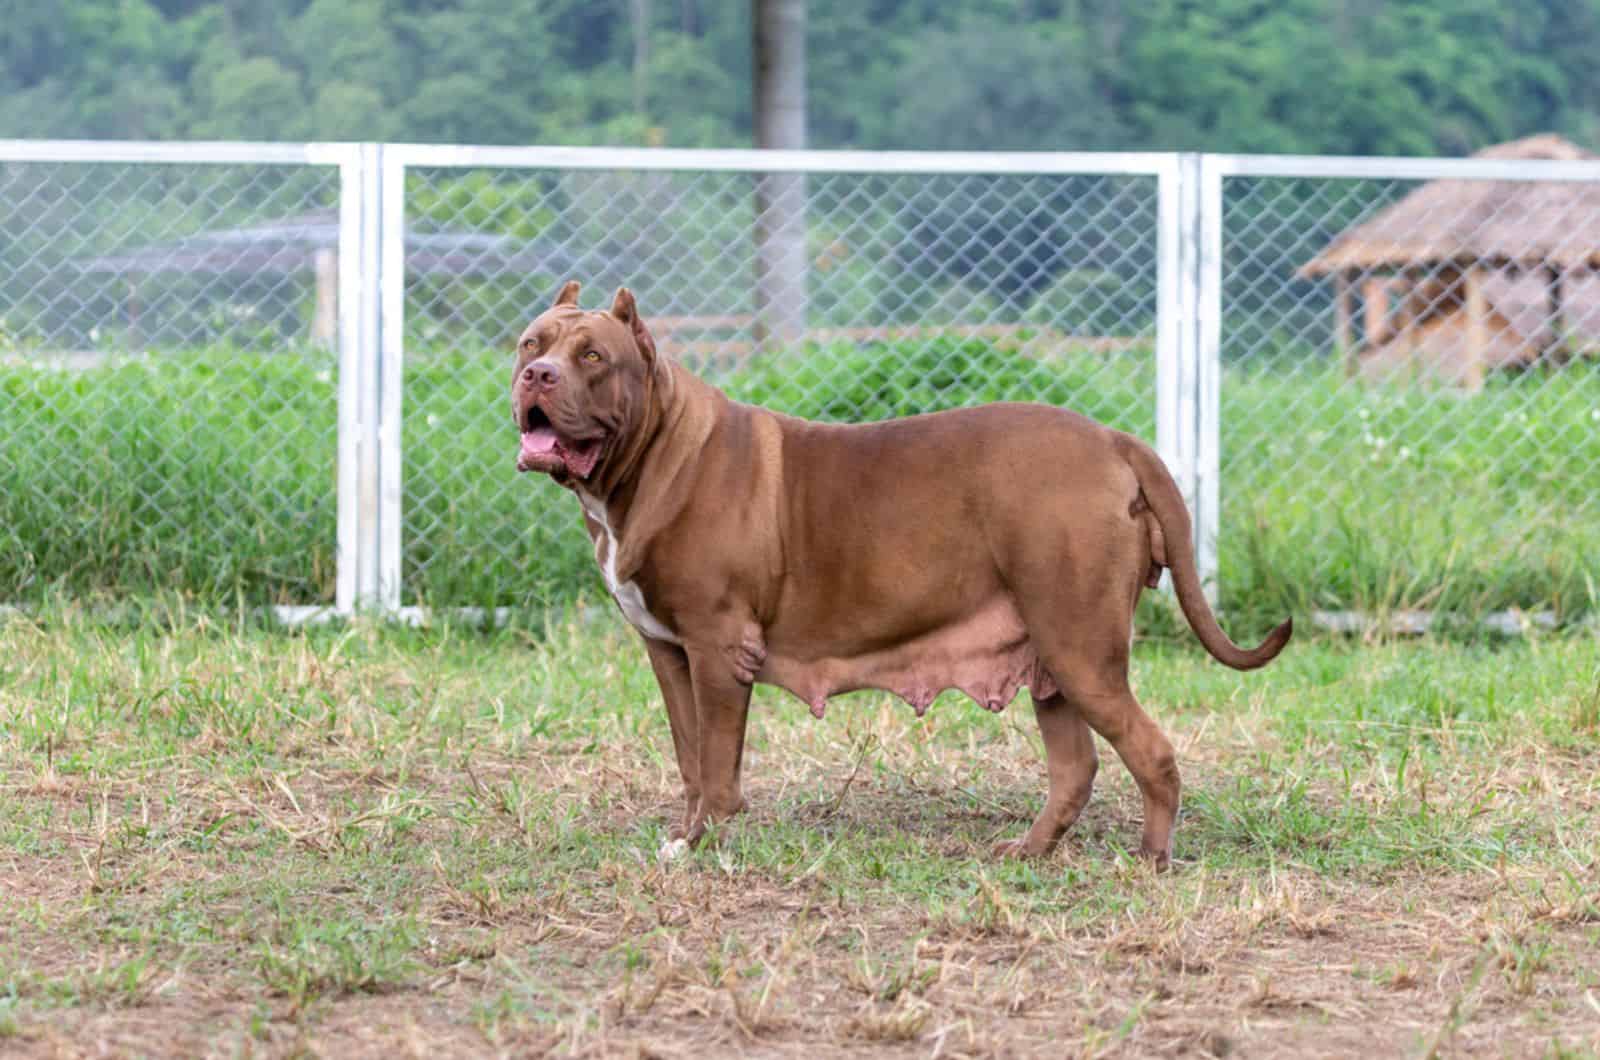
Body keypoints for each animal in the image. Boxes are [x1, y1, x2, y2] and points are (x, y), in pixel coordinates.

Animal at [518, 281, 1292, 871]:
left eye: (592, 355)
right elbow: (689, 754)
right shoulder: (670, 651)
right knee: (1075, 768)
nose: (536, 375)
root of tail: (1114, 440)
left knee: (1152, 752)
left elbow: (715, 760)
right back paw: (1028, 851)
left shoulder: (716, 646)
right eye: (531, 343)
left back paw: (1151, 860)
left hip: (1081, 646)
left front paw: (706, 841)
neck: (648, 455)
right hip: (1054, 661)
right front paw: (686, 835)